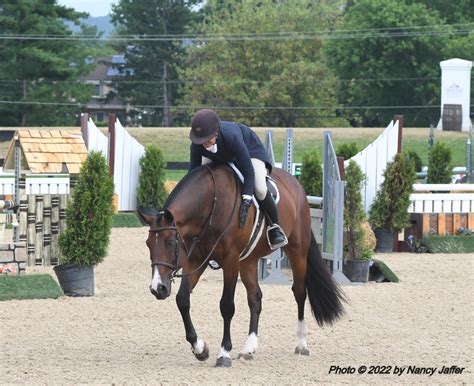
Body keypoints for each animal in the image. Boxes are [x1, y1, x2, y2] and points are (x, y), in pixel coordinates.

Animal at [140, 163, 344, 368]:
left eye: (170, 242)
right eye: (148, 244)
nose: (157, 288)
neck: (210, 206)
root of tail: (296, 184)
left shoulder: (230, 261)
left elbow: (226, 306)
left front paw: (224, 353)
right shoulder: (196, 260)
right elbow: (182, 299)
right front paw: (200, 349)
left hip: (297, 252)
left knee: (300, 292)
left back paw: (301, 343)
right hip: (248, 261)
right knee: (255, 298)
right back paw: (249, 348)